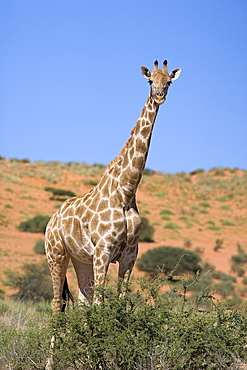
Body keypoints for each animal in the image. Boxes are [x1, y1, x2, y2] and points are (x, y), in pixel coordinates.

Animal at [44, 59, 180, 310]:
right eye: (149, 81)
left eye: (169, 82)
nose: (159, 96)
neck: (125, 192)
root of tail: (51, 221)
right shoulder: (103, 250)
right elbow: (100, 303)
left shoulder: (129, 255)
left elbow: (120, 302)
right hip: (56, 254)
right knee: (57, 303)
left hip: (81, 259)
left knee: (82, 299)